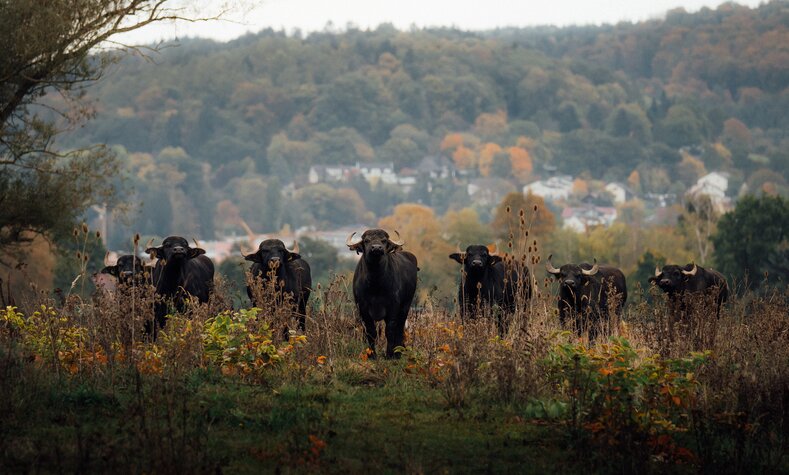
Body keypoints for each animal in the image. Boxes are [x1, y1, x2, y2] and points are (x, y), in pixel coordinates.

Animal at [346, 229, 418, 358]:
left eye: (384, 240)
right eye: (366, 240)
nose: (376, 248)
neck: (376, 283)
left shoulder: (393, 306)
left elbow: (389, 330)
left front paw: (389, 354)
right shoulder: (362, 308)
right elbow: (370, 331)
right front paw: (372, 354)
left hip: (406, 305)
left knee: (399, 328)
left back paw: (398, 352)